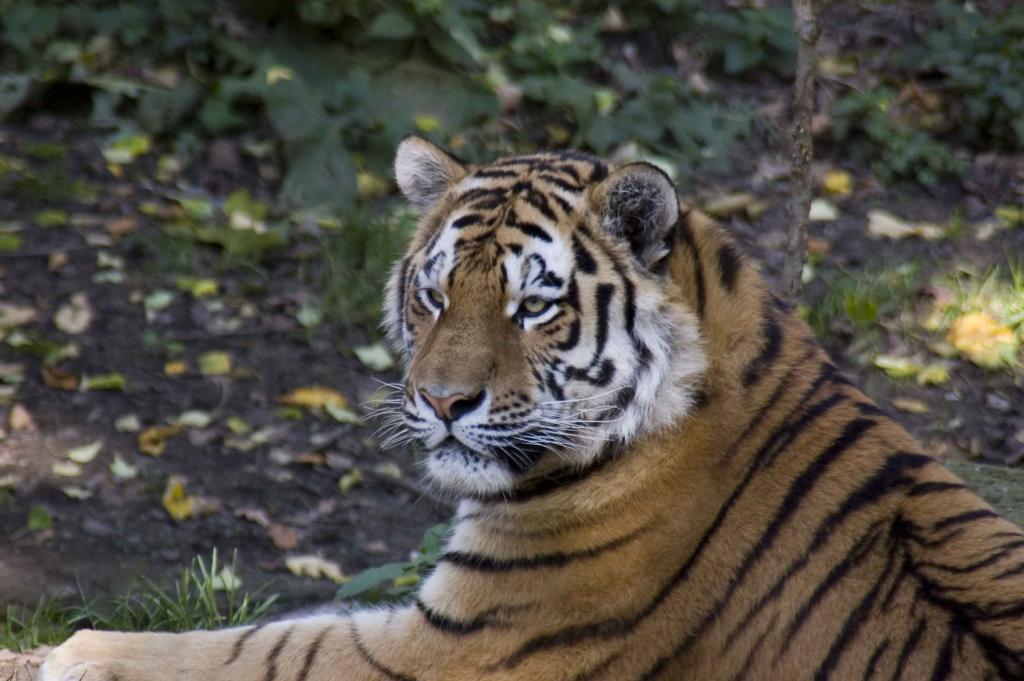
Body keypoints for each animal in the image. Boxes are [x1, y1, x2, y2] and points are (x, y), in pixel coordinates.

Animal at [42, 136, 1024, 681]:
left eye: (534, 305)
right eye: (436, 294)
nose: (442, 399)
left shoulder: (454, 646)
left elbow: (253, 650)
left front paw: (81, 650)